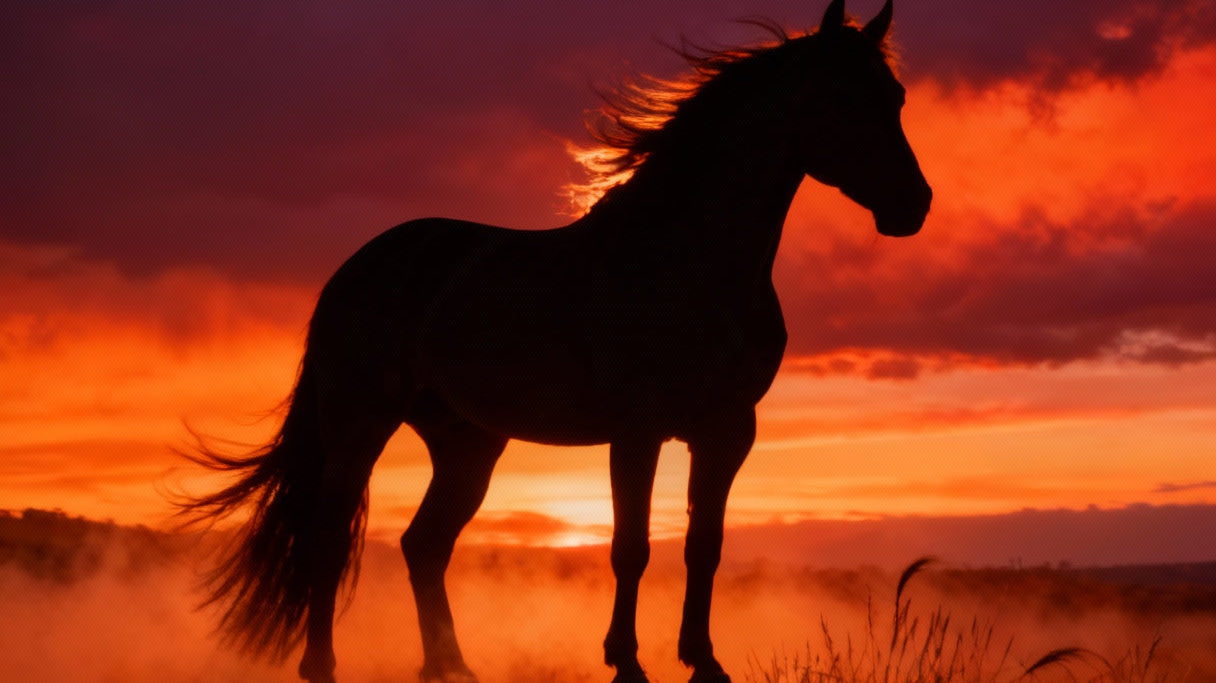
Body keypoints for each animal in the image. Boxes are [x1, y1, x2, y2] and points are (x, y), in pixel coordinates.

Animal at [179, 1, 931, 682]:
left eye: (894, 97)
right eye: (839, 97)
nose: (914, 205)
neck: (688, 261)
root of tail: (356, 268)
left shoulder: (727, 431)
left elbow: (704, 546)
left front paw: (704, 661)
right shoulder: (638, 430)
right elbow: (631, 546)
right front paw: (626, 662)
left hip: (468, 443)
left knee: (424, 545)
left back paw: (450, 666)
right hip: (360, 423)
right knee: (332, 538)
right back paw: (323, 665)